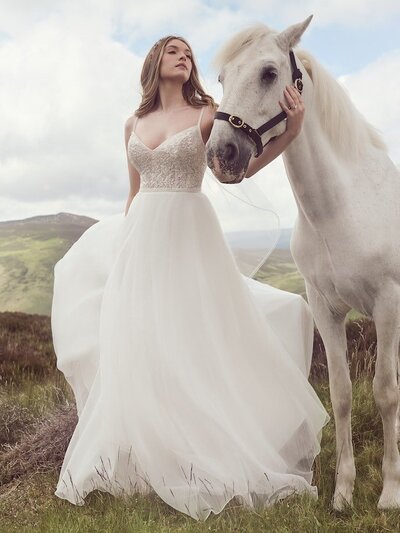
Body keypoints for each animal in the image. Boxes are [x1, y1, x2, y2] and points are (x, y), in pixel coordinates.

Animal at [208, 14, 400, 510]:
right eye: (222, 78)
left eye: (269, 73)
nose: (220, 154)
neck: (340, 207)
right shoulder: (325, 308)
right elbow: (342, 393)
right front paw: (343, 492)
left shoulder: (387, 306)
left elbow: (386, 392)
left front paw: (391, 491)